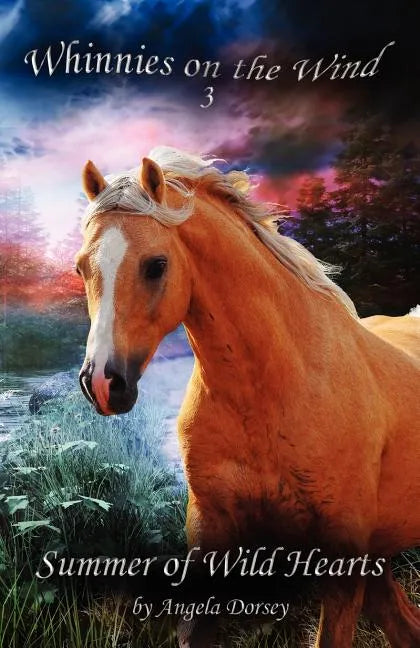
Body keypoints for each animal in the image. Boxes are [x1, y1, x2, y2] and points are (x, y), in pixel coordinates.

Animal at [76, 146, 420, 647]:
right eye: (81, 268)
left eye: (156, 264)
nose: (102, 383)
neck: (271, 392)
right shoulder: (209, 529)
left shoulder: (342, 560)